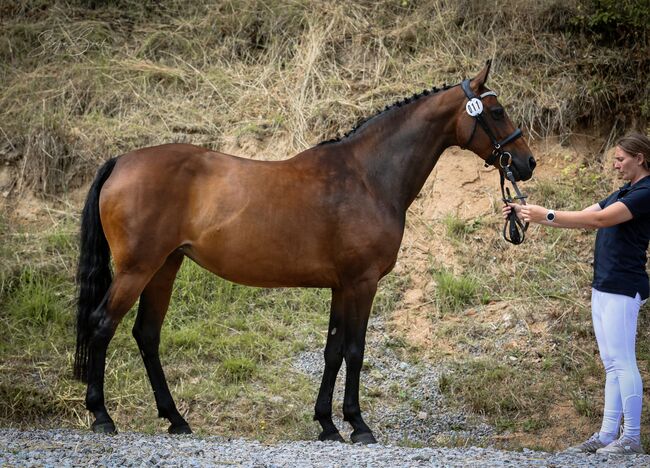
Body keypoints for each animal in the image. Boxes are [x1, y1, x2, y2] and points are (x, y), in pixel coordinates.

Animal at [74, 60, 532, 444]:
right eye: (495, 112)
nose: (526, 164)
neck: (368, 177)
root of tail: (120, 161)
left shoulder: (341, 286)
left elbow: (332, 351)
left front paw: (328, 424)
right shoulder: (361, 283)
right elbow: (355, 351)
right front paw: (358, 425)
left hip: (164, 267)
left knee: (146, 335)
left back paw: (176, 419)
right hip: (137, 269)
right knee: (102, 324)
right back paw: (102, 417)